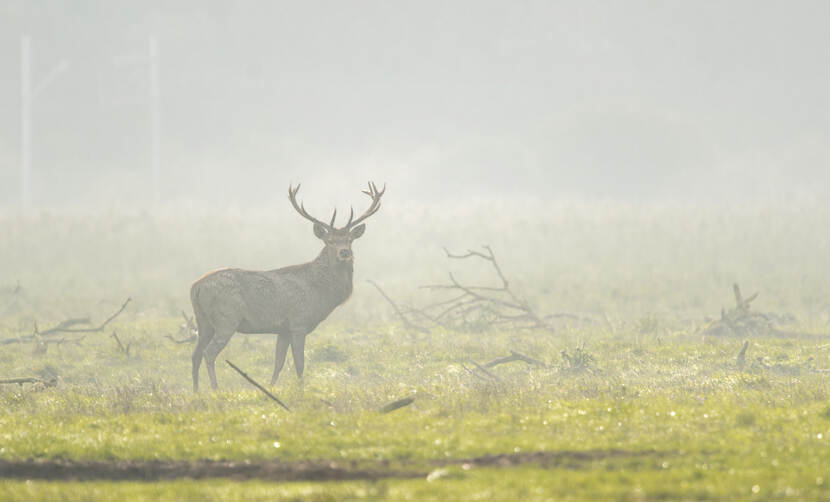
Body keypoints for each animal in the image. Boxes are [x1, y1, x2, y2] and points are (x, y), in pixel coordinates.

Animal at [191, 182, 386, 390]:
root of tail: (195, 287)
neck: (320, 293)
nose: (344, 253)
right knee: (208, 353)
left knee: (195, 354)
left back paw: (196, 391)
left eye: (350, 240)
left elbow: (278, 363)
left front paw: (270, 388)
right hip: (226, 318)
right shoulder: (298, 322)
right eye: (330, 241)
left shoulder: (283, 329)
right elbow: (300, 363)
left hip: (203, 321)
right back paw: (214, 388)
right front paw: (301, 390)